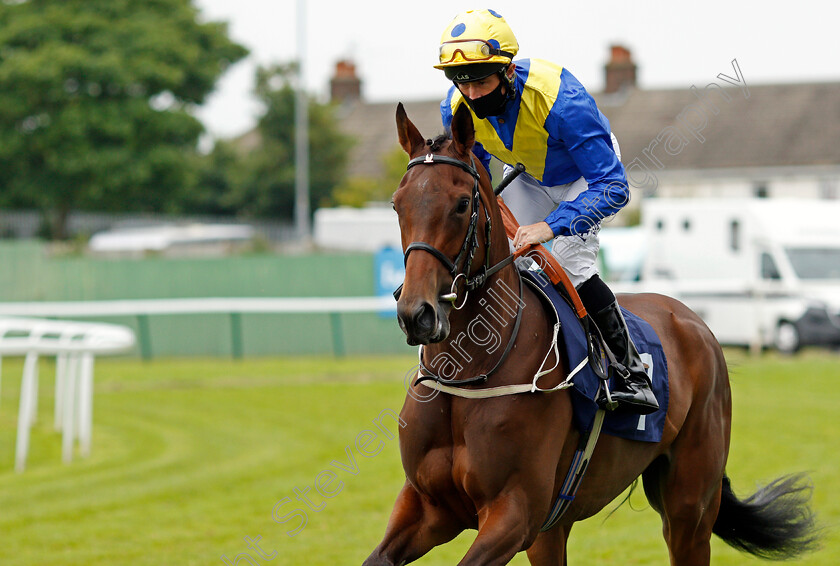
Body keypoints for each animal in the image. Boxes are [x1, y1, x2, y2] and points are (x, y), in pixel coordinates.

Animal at [362, 104, 820, 564]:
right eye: (397, 204)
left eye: (460, 204)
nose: (416, 314)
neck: (470, 375)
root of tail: (693, 321)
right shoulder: (429, 507)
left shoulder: (515, 513)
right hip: (556, 529)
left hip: (689, 507)